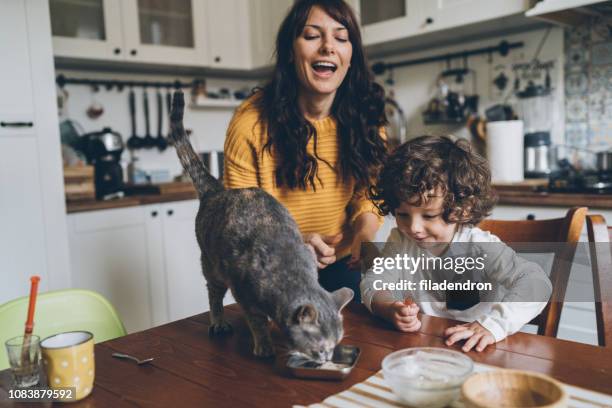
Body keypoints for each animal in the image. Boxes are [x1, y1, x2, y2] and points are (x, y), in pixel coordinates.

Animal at [169, 91, 354, 360]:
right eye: (319, 347)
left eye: (336, 343)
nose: (327, 358)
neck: (290, 271)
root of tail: (217, 190)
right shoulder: (243, 294)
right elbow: (256, 321)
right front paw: (264, 345)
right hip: (212, 266)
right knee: (213, 295)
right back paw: (218, 322)